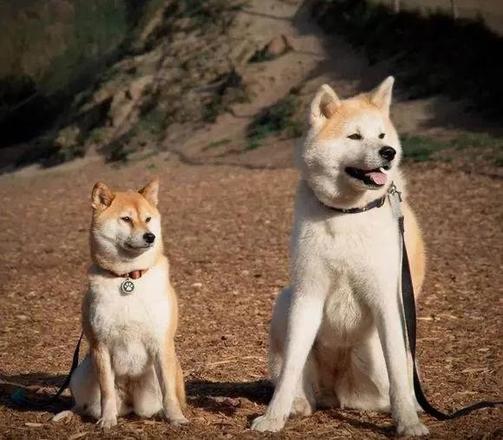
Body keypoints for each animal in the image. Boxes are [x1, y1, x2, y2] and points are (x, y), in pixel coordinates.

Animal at [65, 178, 187, 426]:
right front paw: (107, 420)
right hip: (80, 373)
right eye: (126, 219)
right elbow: (107, 392)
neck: (128, 278)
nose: (150, 236)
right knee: (82, 405)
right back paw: (67, 414)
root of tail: (131, 404)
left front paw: (176, 418)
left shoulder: (161, 343)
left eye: (148, 219)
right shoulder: (100, 346)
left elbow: (169, 392)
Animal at [252, 77, 430, 434]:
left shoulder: (388, 300)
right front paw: (273, 417)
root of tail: (335, 391)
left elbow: (398, 372)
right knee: (297, 380)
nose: (388, 153)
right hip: (285, 302)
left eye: (382, 136)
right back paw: (298, 404)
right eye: (355, 136)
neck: (347, 213)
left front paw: (407, 422)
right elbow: (291, 367)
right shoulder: (308, 294)